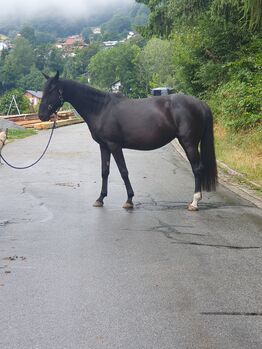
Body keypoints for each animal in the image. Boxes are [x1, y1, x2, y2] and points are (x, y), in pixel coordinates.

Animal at [39, 69, 218, 208]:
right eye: (43, 90)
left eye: (52, 90)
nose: (41, 115)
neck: (101, 109)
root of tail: (200, 103)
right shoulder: (104, 146)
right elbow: (105, 171)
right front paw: (100, 199)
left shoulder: (114, 145)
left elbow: (123, 171)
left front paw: (129, 200)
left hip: (189, 143)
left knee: (197, 168)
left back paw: (194, 202)